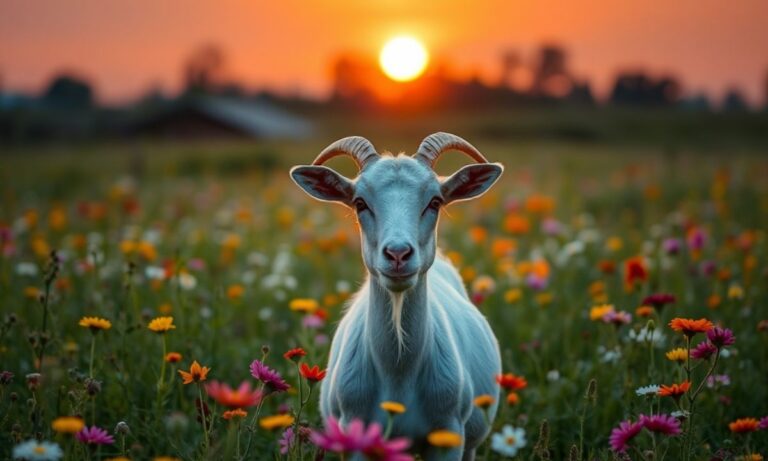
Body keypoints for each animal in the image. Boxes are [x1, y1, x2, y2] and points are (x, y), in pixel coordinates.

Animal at [290, 133, 503, 460]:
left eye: (435, 201)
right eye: (360, 202)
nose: (398, 253)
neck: (398, 373)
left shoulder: (449, 435)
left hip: (471, 440)